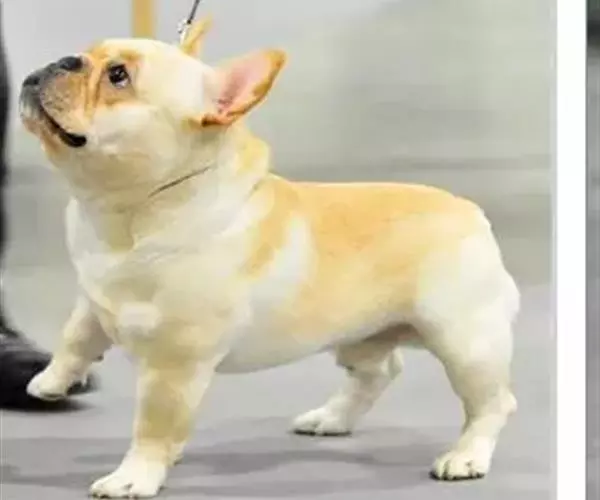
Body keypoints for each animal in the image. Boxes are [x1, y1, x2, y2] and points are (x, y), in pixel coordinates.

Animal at [19, 18, 519, 498]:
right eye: (89, 54)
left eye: (118, 76)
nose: (65, 60)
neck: (127, 211)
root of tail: (471, 213)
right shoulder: (94, 297)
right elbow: (77, 335)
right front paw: (51, 380)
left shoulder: (174, 366)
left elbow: (154, 427)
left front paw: (134, 477)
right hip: (359, 334)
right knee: (378, 372)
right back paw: (331, 418)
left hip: (464, 344)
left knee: (492, 402)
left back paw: (466, 456)